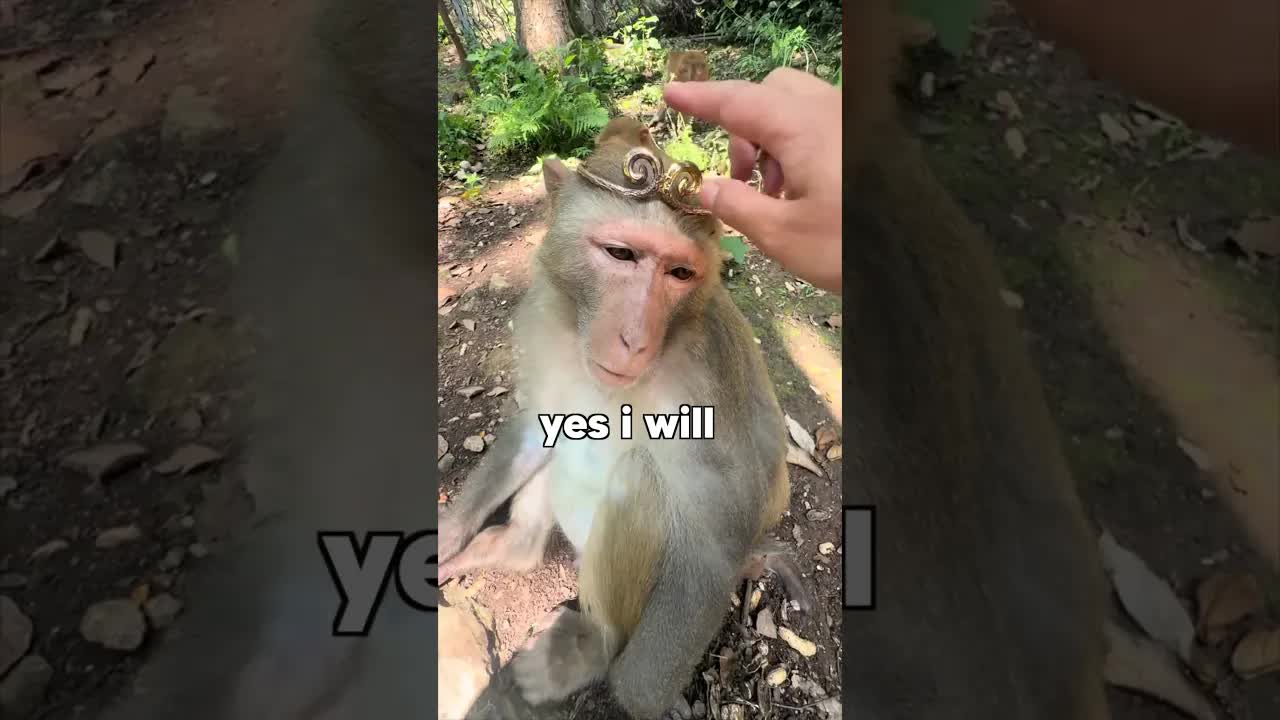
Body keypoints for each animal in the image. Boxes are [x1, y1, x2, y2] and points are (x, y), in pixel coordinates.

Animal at [436, 115, 811, 720]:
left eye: (680, 272)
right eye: (620, 254)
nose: (634, 339)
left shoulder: (707, 381)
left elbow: (714, 539)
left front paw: (632, 692)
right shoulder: (544, 321)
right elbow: (539, 423)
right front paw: (446, 532)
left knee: (640, 477)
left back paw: (592, 648)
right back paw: (513, 548)